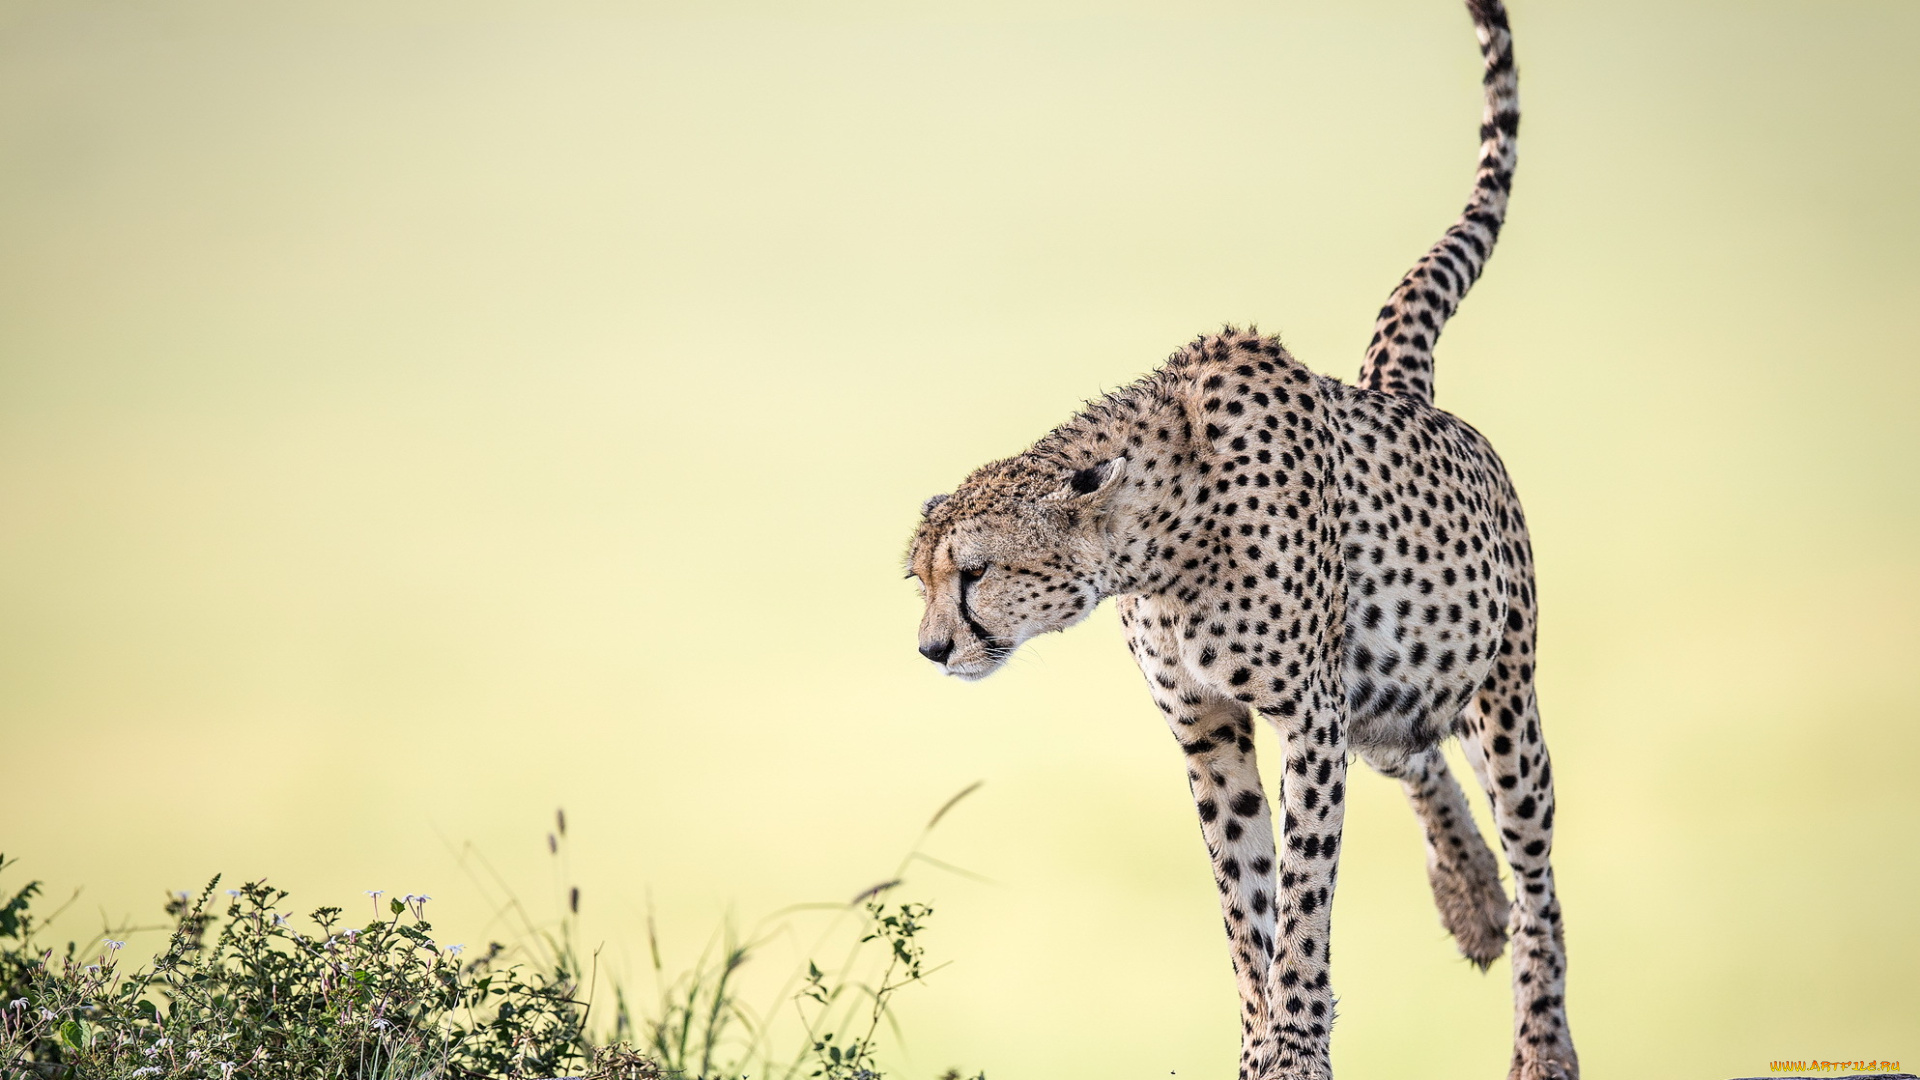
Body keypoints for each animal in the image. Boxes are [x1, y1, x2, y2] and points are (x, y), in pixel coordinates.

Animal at [903, 2, 1573, 1079]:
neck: (1162, 541)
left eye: (973, 573)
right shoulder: (1208, 724)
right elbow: (1241, 892)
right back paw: (1471, 899)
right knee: (1419, 758)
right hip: (1398, 687)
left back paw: (1541, 1036)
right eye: (917, 580)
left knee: (1540, 872)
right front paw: (1267, 1033)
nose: (931, 649)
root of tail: (1398, 385)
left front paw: (1293, 1034)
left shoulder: (1307, 715)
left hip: (1499, 693)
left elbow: (1300, 889)